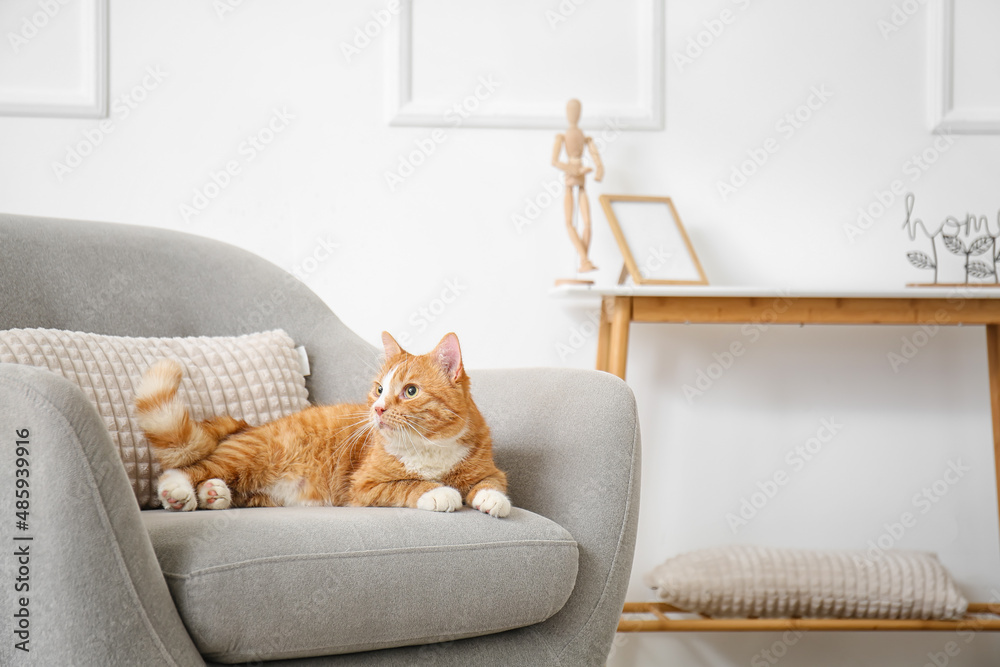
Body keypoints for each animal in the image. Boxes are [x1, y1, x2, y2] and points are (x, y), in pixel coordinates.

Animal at [133, 332, 508, 516]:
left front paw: (492, 500)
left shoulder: (488, 468)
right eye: (379, 389)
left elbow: (492, 482)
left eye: (411, 391)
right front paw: (439, 492)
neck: (429, 446)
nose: (378, 409)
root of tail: (247, 424)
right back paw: (179, 492)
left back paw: (214, 495)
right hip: (247, 455)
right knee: (189, 468)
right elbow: (408, 485)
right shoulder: (364, 486)